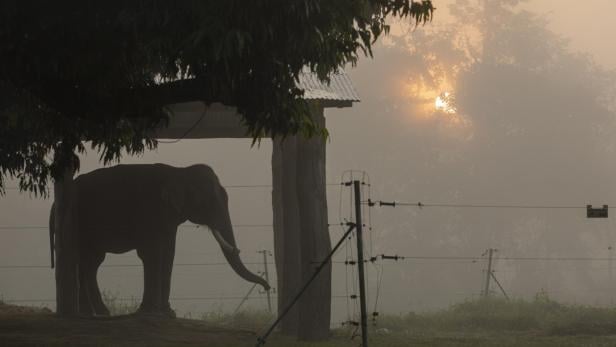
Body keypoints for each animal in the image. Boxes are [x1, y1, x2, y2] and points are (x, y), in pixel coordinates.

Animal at [49, 164, 268, 316]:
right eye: (210, 201)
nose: (267, 287)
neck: (180, 171)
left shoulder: (169, 219)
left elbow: (169, 252)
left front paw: (168, 313)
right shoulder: (151, 209)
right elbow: (151, 253)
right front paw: (149, 312)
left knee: (91, 263)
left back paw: (99, 313)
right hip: (78, 223)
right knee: (86, 261)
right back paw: (92, 313)